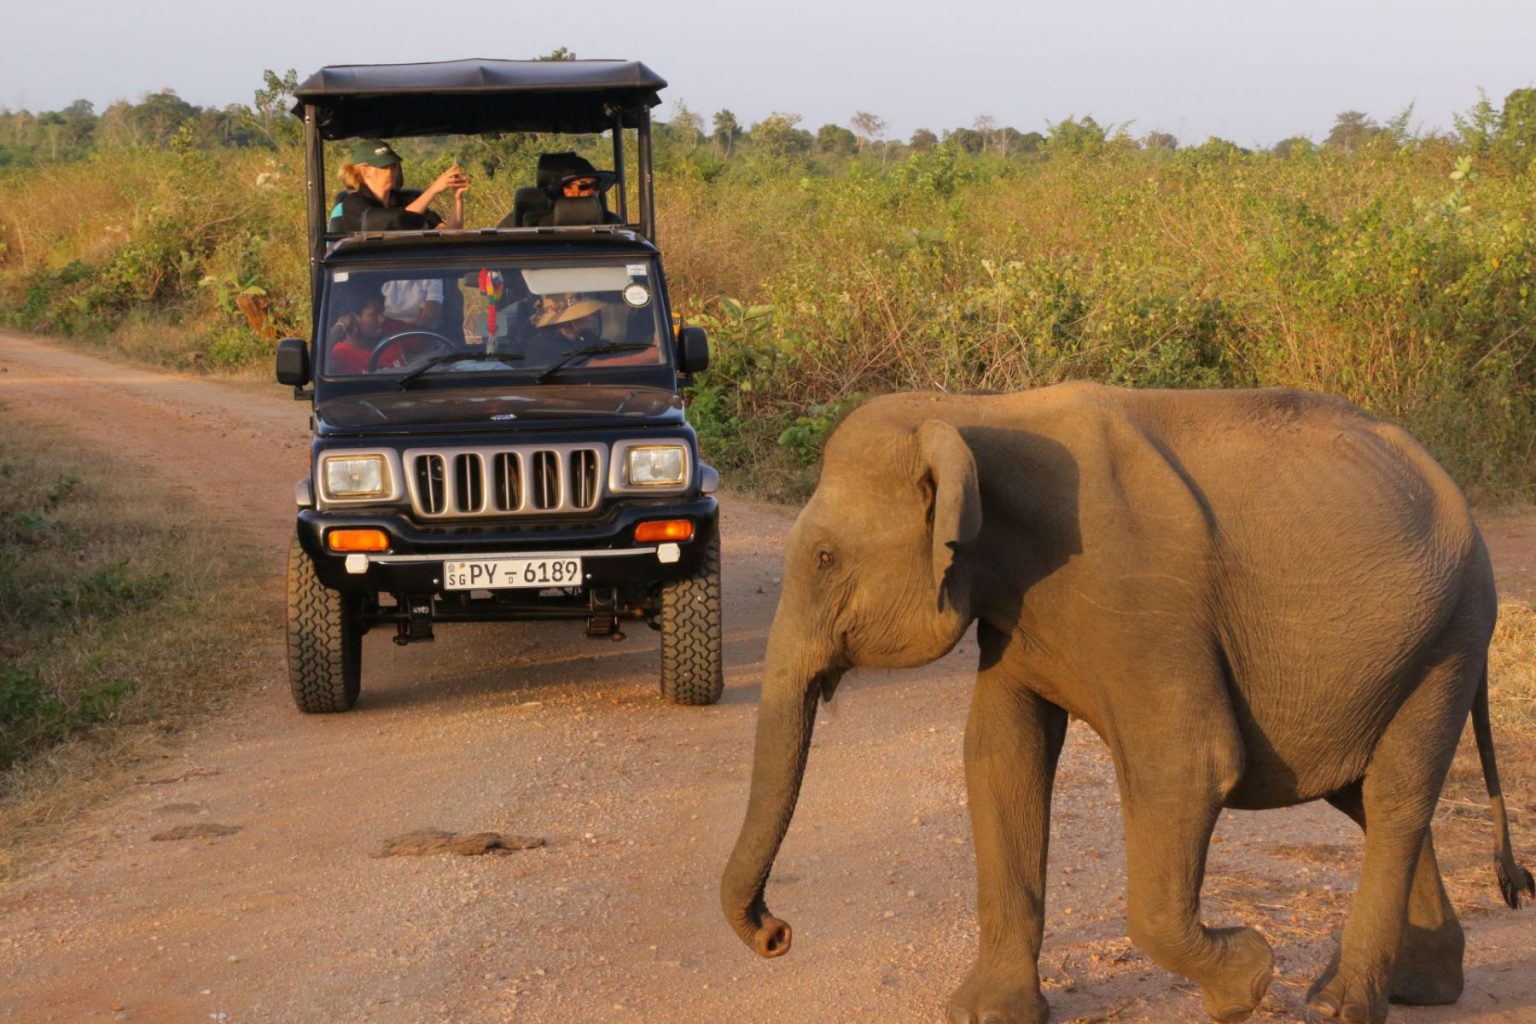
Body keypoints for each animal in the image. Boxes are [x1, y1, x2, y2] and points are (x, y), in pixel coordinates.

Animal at [721, 383, 1536, 1024]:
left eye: (826, 559)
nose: (777, 933)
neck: (975, 413)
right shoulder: (1017, 614)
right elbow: (1000, 755)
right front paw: (985, 1015)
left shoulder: (1142, 597)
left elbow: (1188, 764)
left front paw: (1248, 980)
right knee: (1365, 796)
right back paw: (1417, 988)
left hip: (1451, 638)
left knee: (1394, 796)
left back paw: (1337, 1006)